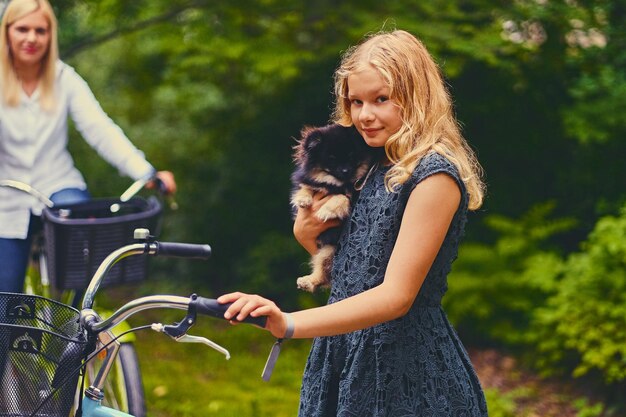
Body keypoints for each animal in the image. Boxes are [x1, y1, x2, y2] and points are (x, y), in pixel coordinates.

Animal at [292, 123, 376, 292]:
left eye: (351, 156)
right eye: (331, 159)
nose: (345, 170)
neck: (336, 183)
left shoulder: (353, 195)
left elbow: (341, 197)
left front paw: (326, 211)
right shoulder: (314, 182)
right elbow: (306, 187)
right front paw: (303, 200)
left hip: (329, 251)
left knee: (324, 274)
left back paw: (308, 282)